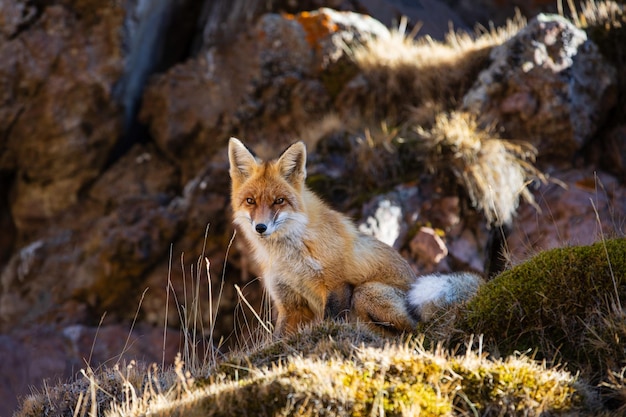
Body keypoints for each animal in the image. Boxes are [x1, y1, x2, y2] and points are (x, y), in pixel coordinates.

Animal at [227, 138, 480, 336]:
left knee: (414, 330)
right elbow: (279, 338)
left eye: (279, 201)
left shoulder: (337, 284)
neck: (291, 255)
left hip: (366, 292)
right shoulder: (290, 304)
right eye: (250, 201)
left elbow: (332, 319)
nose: (261, 227)